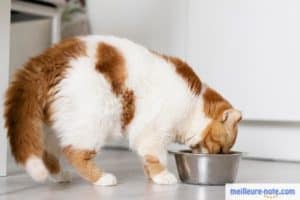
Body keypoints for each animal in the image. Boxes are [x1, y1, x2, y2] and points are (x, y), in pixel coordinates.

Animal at [3, 34, 241, 186]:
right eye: (221, 149)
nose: (216, 156)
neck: (193, 104)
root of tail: (47, 58)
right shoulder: (154, 132)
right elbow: (157, 157)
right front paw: (161, 176)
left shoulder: (145, 134)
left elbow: (147, 158)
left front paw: (150, 175)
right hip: (93, 121)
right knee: (74, 153)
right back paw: (102, 179)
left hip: (52, 127)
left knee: (48, 153)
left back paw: (60, 175)